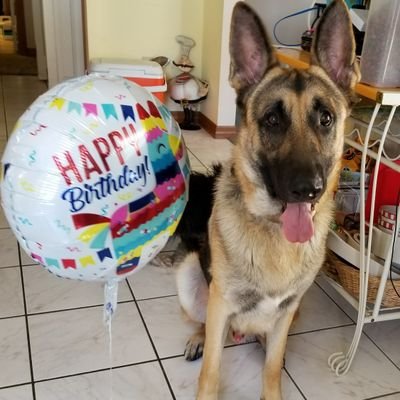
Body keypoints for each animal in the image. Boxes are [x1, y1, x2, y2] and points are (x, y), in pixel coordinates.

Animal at [175, 1, 360, 398]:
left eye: (326, 118)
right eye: (273, 120)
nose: (308, 189)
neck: (275, 232)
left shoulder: (286, 311)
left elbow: (272, 371)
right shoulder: (220, 304)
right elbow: (210, 372)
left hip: (294, 312)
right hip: (192, 276)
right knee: (204, 324)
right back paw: (198, 338)